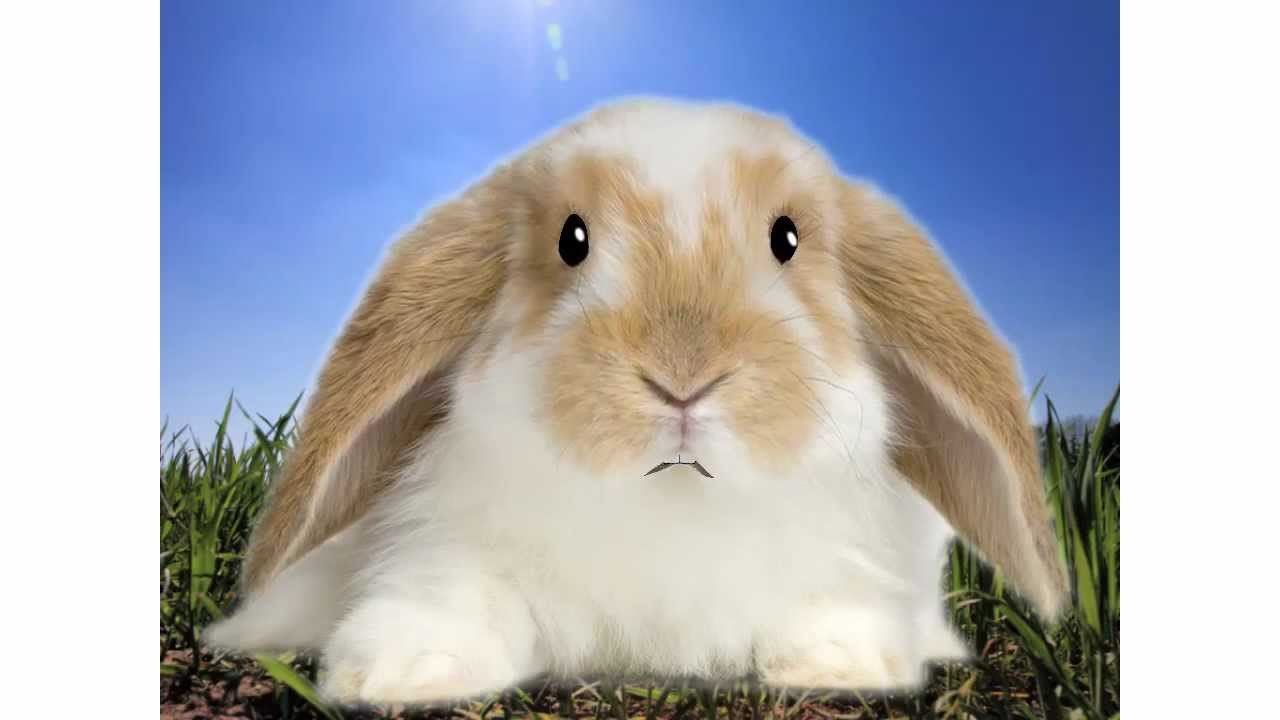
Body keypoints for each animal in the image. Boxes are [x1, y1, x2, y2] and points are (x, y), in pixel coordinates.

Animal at [204, 97, 1067, 705]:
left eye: (787, 238)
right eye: (571, 239)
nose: (682, 374)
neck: (670, 505)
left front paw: (838, 661)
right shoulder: (442, 543)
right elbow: (455, 594)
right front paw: (406, 669)